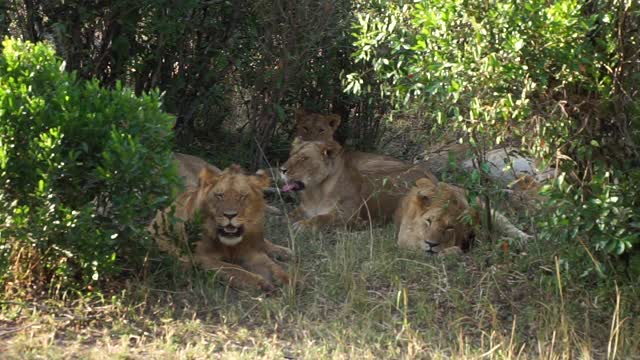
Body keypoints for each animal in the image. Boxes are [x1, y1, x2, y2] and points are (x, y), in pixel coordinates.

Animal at [149, 165, 292, 292]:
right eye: (220, 196)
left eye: (242, 196)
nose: (230, 215)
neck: (230, 246)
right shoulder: (201, 258)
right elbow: (233, 268)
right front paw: (261, 283)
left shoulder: (252, 252)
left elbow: (273, 266)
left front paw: (288, 280)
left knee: (264, 242)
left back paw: (283, 251)